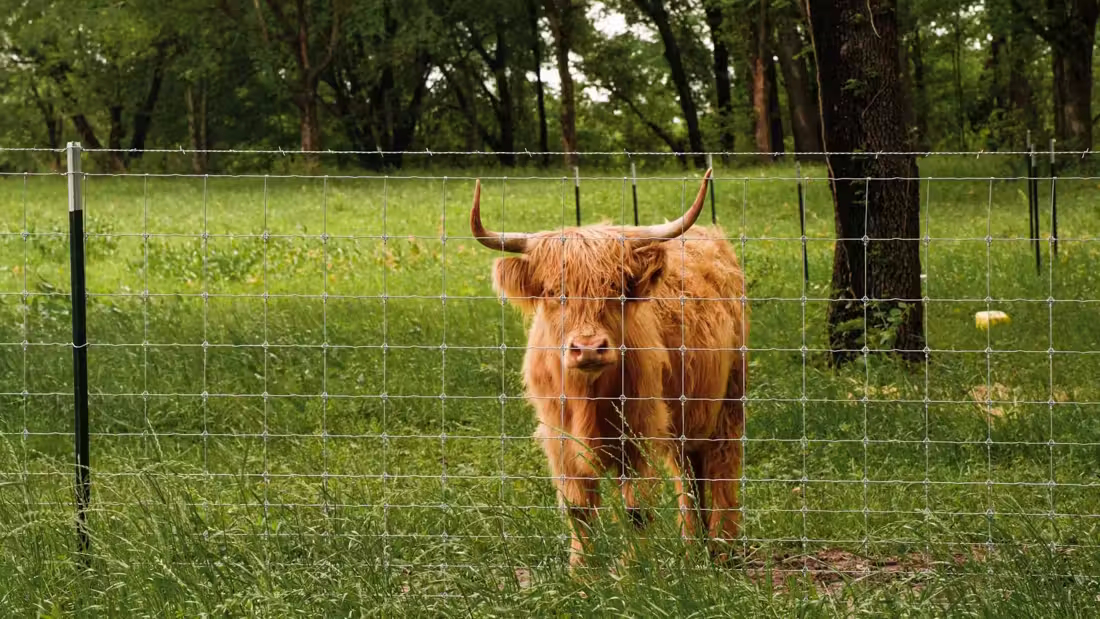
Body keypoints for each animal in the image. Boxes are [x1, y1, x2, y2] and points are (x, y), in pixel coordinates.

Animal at [469, 169, 747, 568]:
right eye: (553, 292)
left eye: (615, 288)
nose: (588, 348)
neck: (589, 397)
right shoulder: (559, 437)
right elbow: (578, 509)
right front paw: (580, 574)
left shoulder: (640, 432)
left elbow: (636, 512)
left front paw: (633, 572)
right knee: (690, 477)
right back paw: (692, 549)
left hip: (729, 401)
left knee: (722, 468)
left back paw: (723, 550)